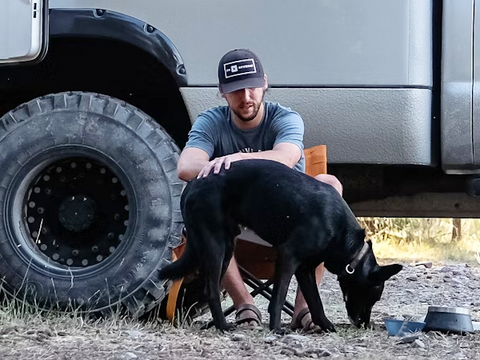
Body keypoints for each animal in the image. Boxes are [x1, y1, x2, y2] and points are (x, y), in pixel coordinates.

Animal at [159, 160, 404, 332]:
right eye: (373, 294)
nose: (364, 324)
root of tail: (192, 184)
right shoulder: (289, 256)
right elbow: (278, 297)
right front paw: (276, 328)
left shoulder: (305, 269)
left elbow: (315, 302)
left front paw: (326, 326)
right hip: (216, 245)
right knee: (211, 290)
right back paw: (223, 326)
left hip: (226, 247)